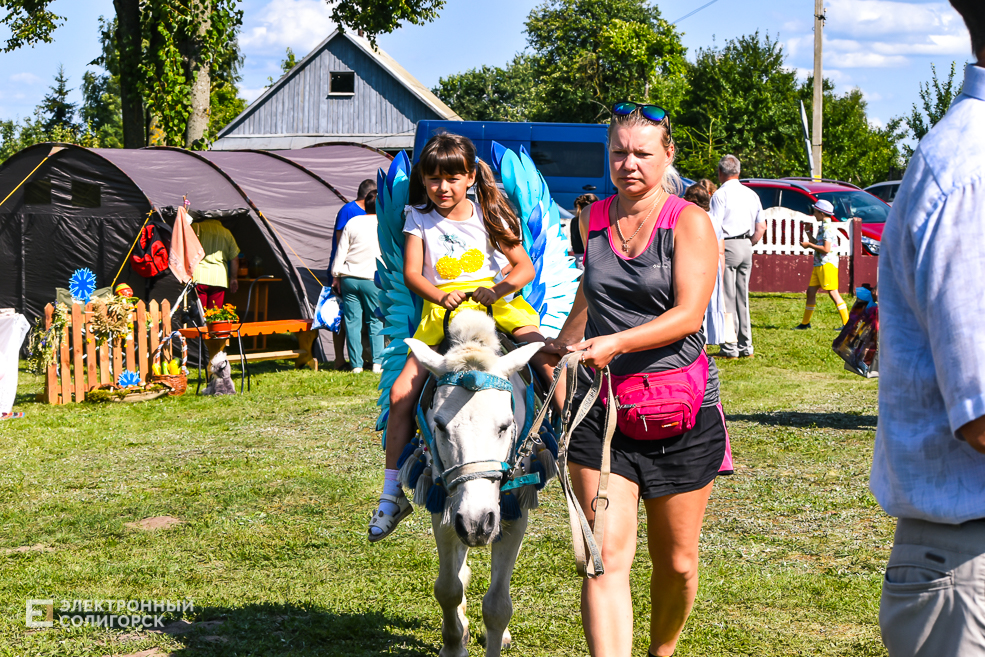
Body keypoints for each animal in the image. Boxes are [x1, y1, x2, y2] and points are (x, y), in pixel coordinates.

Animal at [404, 310, 548, 656]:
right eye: (440, 426)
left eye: (505, 425)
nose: (477, 523)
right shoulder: (444, 508)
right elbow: (448, 588)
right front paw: (454, 645)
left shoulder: (513, 515)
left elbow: (497, 605)